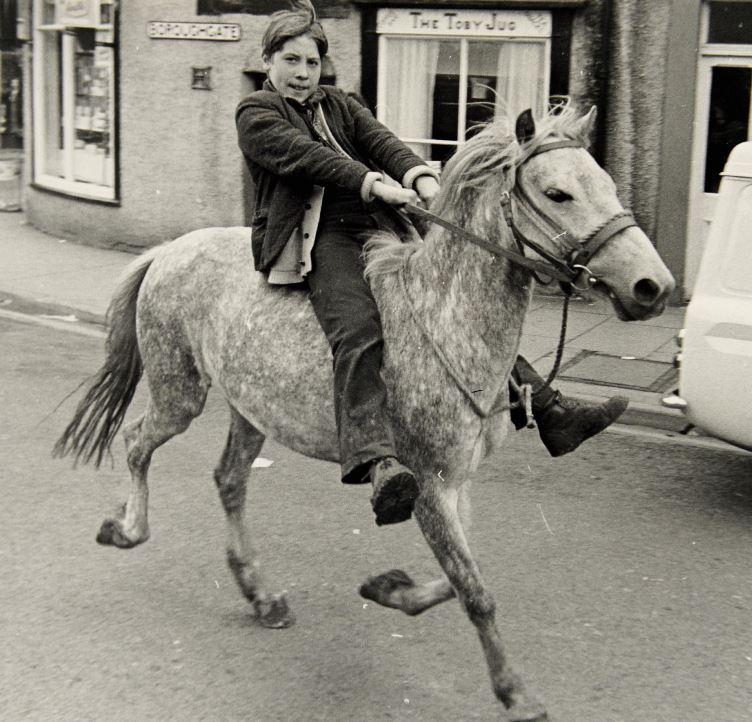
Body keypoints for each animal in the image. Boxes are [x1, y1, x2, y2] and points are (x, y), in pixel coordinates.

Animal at [54, 102, 676, 720]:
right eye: (557, 193)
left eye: (607, 184)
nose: (653, 286)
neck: (446, 319)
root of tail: (168, 251)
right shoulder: (429, 483)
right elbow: (474, 590)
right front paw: (515, 692)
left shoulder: (455, 483)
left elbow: (459, 577)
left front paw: (390, 588)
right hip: (179, 392)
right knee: (136, 442)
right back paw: (127, 530)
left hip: (251, 409)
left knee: (229, 480)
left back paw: (260, 595)